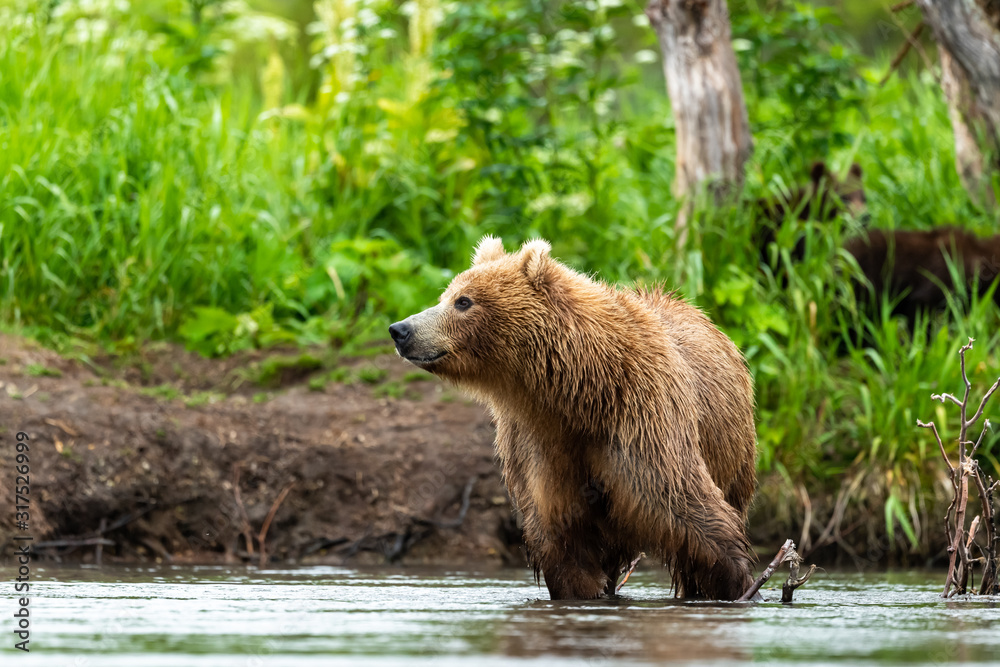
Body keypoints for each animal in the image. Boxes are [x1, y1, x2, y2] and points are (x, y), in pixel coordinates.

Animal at [389, 237, 758, 601]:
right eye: (446, 295)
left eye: (463, 301)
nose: (400, 329)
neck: (579, 392)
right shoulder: (540, 442)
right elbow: (563, 541)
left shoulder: (640, 417)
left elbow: (682, 505)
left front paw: (736, 582)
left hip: (734, 449)